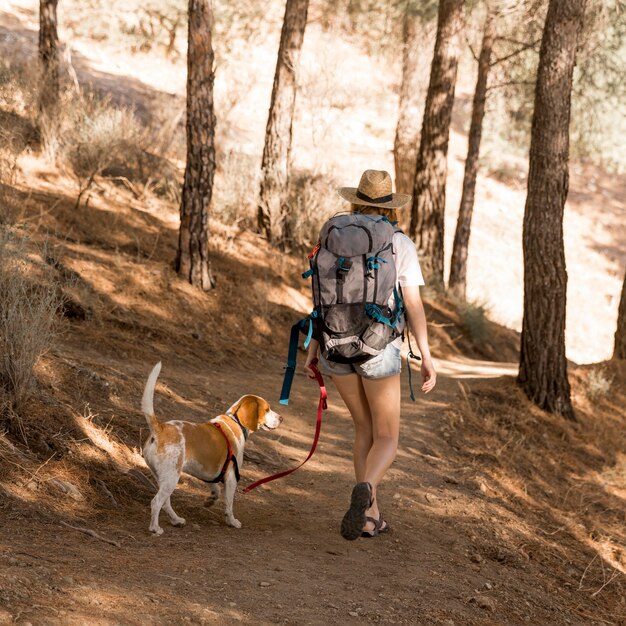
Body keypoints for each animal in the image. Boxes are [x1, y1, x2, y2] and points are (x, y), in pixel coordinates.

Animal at [140, 360, 282, 532]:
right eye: (267, 409)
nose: (281, 418)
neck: (235, 420)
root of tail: (160, 428)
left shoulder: (211, 473)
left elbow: (216, 489)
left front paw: (211, 500)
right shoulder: (231, 477)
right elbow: (229, 504)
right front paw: (232, 521)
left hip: (164, 478)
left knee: (165, 503)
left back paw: (176, 520)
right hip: (171, 477)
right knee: (156, 502)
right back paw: (155, 528)